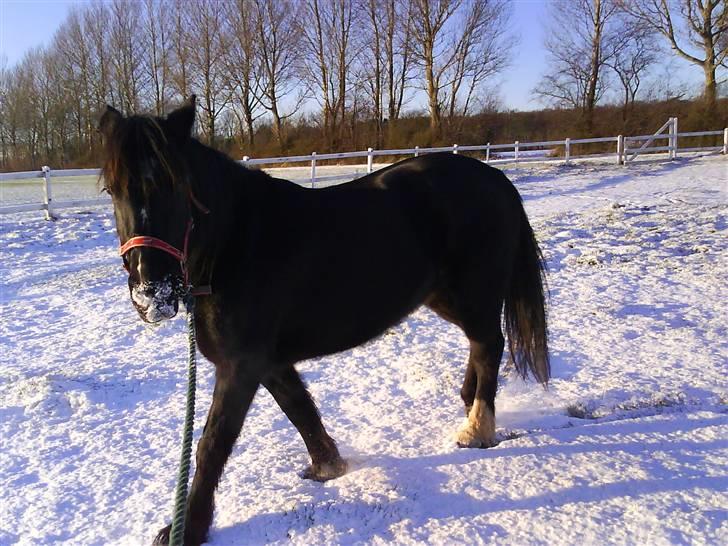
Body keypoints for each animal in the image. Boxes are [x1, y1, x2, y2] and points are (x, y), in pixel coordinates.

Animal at [98, 96, 549, 546]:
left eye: (173, 184)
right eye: (112, 190)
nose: (151, 292)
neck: (237, 246)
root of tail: (496, 178)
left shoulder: (241, 366)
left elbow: (213, 442)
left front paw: (188, 527)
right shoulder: (270, 363)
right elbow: (299, 409)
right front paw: (327, 466)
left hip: (472, 295)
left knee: (490, 344)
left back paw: (477, 428)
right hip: (445, 298)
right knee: (480, 343)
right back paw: (468, 402)